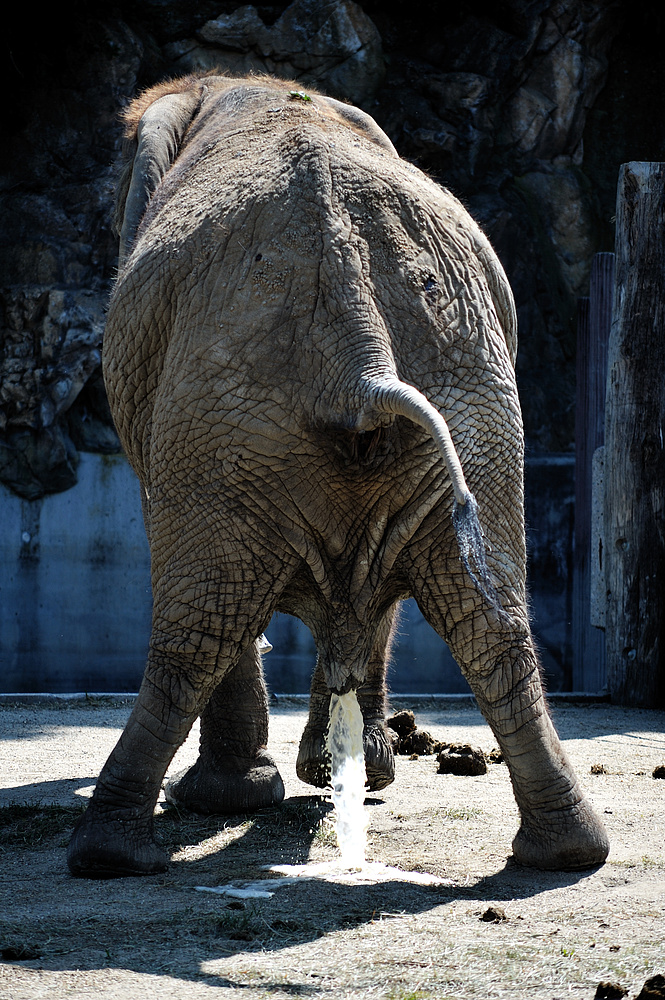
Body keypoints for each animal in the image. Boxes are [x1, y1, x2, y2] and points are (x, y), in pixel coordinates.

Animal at [67, 72, 609, 877]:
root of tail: (360, 342)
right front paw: (337, 775)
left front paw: (264, 792)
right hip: (468, 395)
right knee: (489, 621)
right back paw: (567, 852)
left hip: (223, 417)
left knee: (202, 624)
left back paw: (112, 854)